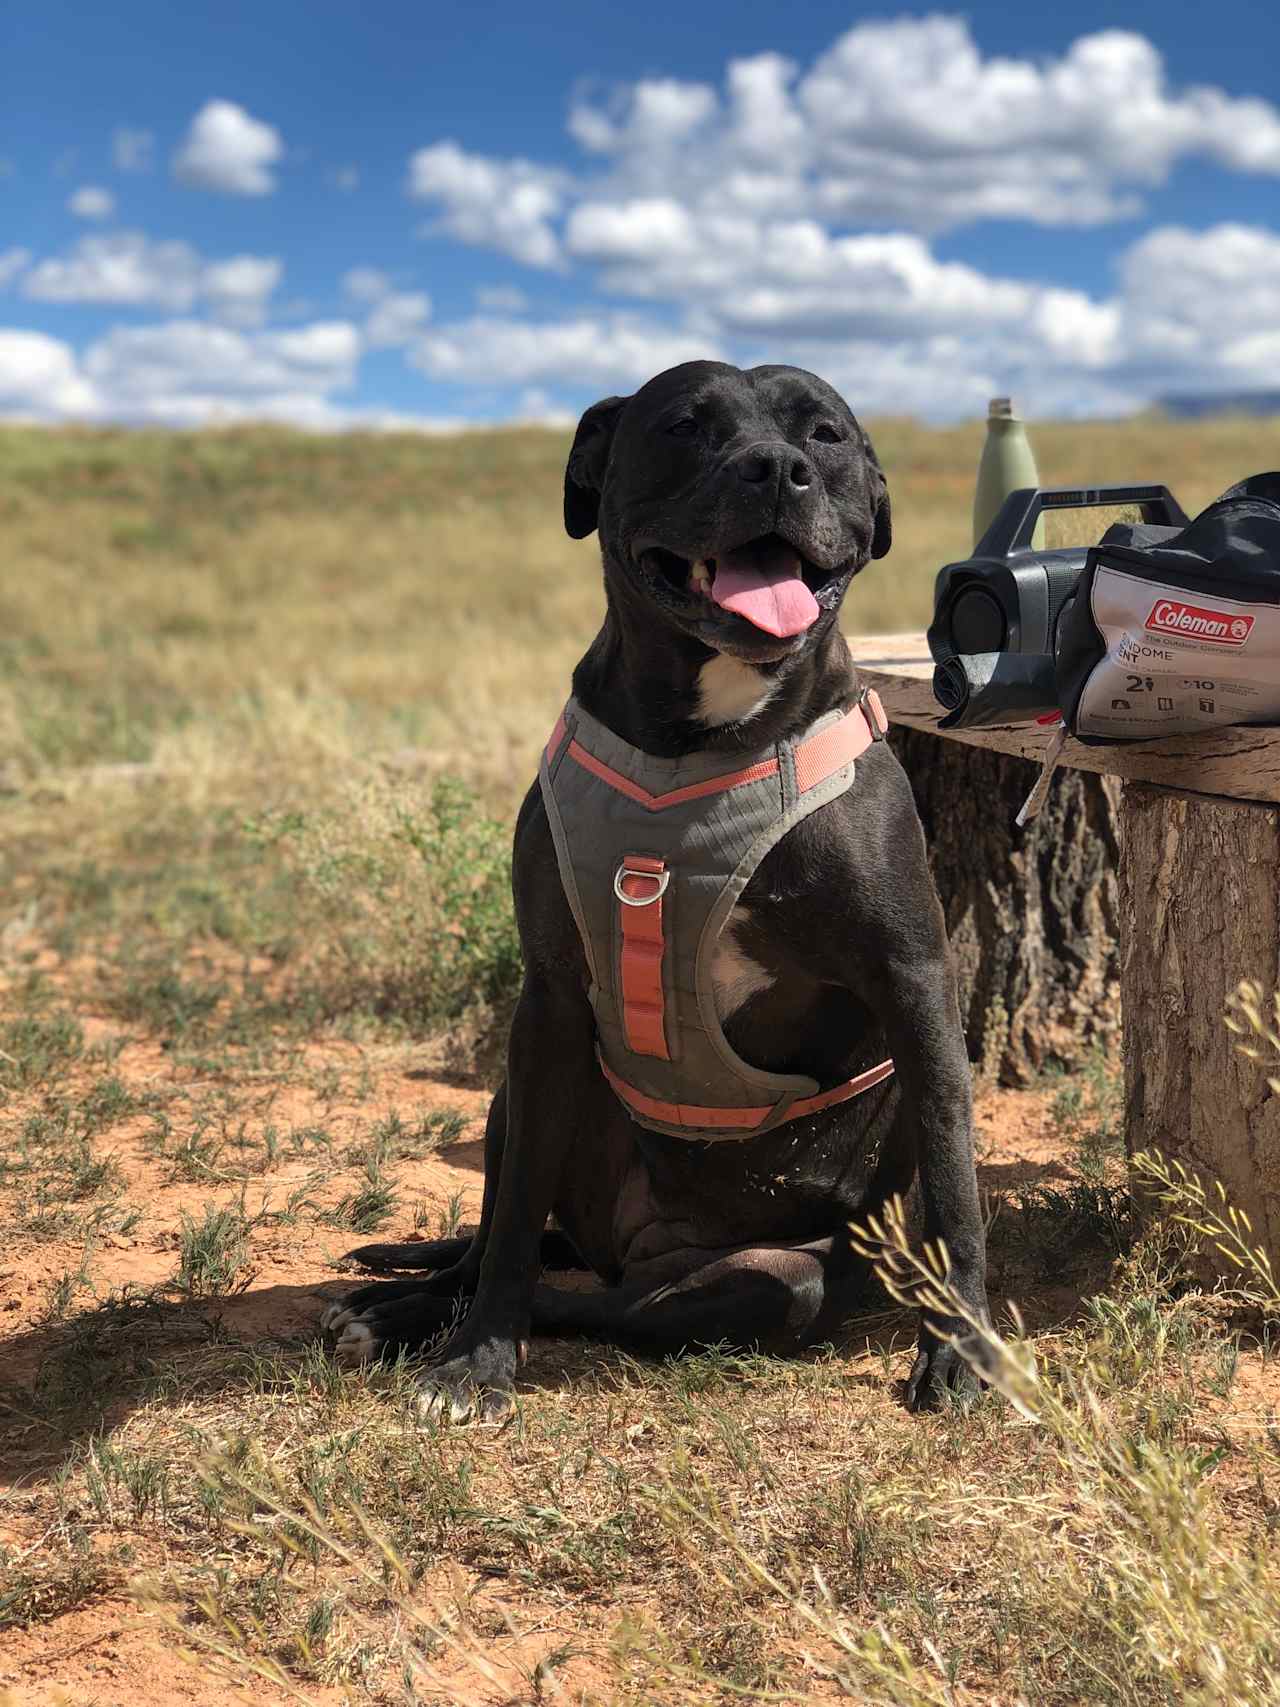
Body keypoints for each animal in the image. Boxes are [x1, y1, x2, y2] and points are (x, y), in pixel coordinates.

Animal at [322, 360, 989, 1413]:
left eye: (828, 433)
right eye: (685, 425)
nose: (777, 468)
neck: (705, 737)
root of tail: (633, 1246)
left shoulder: (916, 978)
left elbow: (956, 1184)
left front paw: (960, 1346)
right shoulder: (550, 999)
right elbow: (509, 1225)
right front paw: (476, 1362)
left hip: (774, 1281)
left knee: (603, 1305)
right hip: (517, 1096)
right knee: (507, 1244)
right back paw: (408, 1309)